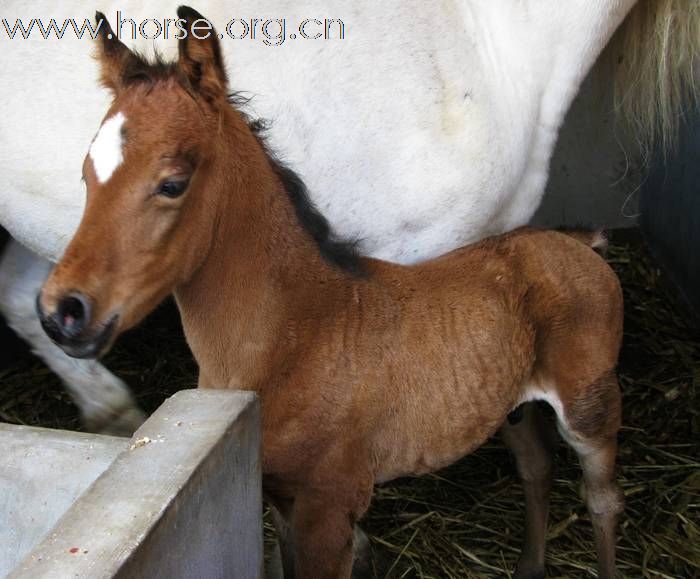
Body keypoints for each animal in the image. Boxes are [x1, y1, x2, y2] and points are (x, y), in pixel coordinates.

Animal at [39, 9, 624, 579]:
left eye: (172, 184)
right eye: (87, 175)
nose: (61, 312)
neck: (295, 336)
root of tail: (574, 242)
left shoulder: (330, 506)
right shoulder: (279, 497)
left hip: (589, 406)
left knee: (602, 498)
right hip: (512, 407)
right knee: (536, 466)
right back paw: (529, 566)